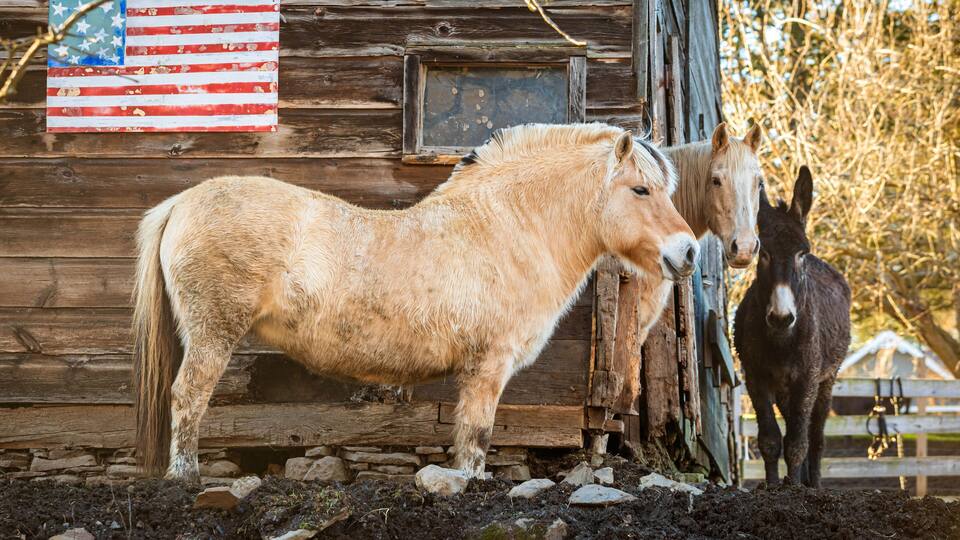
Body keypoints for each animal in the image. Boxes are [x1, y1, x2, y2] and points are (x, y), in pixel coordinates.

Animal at [133, 122, 701, 482]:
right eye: (641, 190)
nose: (688, 251)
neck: (504, 228)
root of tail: (181, 202)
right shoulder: (488, 367)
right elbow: (477, 435)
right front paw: (468, 483)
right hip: (212, 333)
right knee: (187, 397)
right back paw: (185, 477)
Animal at [733, 166, 851, 487]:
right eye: (763, 253)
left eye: (801, 254)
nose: (781, 317)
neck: (780, 341)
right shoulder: (756, 378)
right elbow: (771, 440)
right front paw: (774, 486)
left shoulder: (807, 379)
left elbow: (798, 442)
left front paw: (796, 488)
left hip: (826, 380)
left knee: (816, 436)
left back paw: (814, 484)